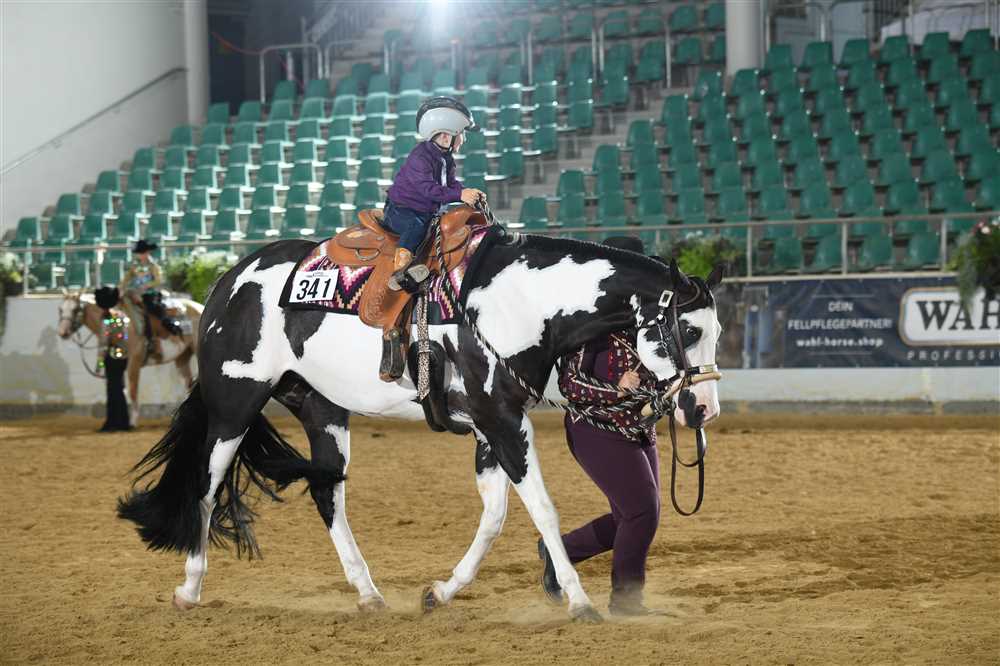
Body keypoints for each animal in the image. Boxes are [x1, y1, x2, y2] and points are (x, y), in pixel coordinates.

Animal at [57, 290, 203, 426]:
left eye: (75, 310)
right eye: (60, 309)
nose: (62, 332)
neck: (121, 324)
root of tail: (200, 307)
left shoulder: (134, 362)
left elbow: (133, 390)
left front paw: (133, 422)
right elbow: (122, 390)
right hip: (182, 358)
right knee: (189, 382)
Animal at [117, 226, 723, 623]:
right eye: (689, 331)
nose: (703, 411)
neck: (510, 304)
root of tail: (226, 281)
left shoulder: (490, 428)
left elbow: (495, 517)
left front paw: (441, 592)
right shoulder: (503, 424)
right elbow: (543, 510)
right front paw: (579, 602)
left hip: (322, 409)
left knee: (326, 492)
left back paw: (368, 593)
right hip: (234, 407)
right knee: (206, 486)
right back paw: (189, 589)